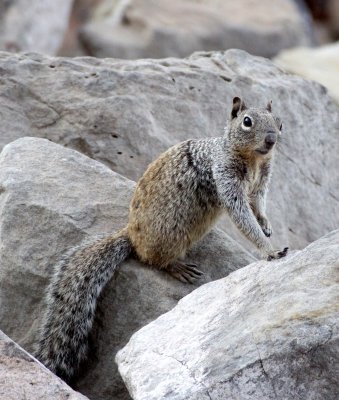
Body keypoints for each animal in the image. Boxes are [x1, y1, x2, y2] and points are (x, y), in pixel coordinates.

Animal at [34, 96, 290, 382]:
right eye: (247, 122)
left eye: (279, 122)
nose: (271, 139)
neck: (253, 159)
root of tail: (130, 235)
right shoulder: (225, 177)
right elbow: (242, 217)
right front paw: (269, 250)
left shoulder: (261, 182)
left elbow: (258, 205)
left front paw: (266, 225)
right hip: (173, 233)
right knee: (152, 260)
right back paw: (178, 267)